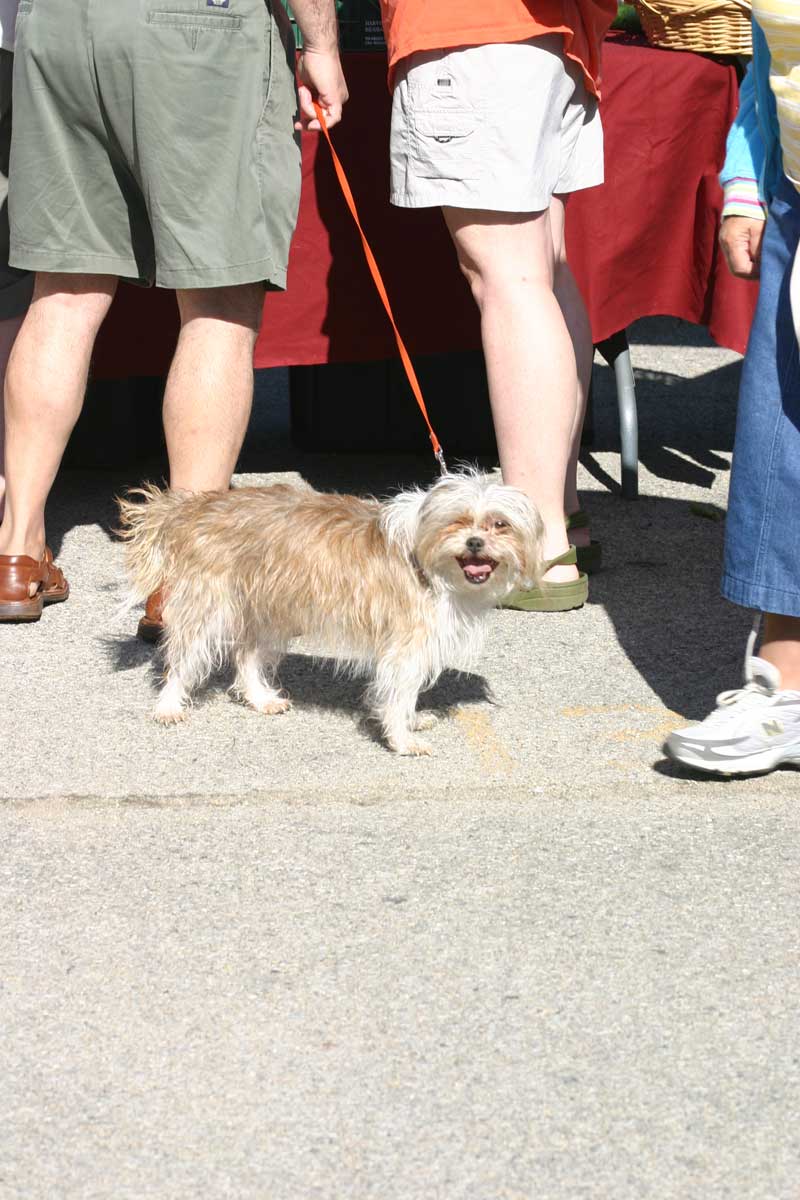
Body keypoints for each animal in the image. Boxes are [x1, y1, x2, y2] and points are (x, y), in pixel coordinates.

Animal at [118, 472, 544, 753]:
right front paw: (401, 739)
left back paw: (260, 698)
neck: (427, 556)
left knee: (246, 656)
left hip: (268, 610)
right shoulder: (405, 647)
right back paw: (169, 706)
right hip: (210, 607)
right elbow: (399, 694)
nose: (475, 542)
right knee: (183, 660)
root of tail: (193, 505)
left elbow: (406, 695)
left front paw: (410, 723)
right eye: (458, 521)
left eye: (500, 524)